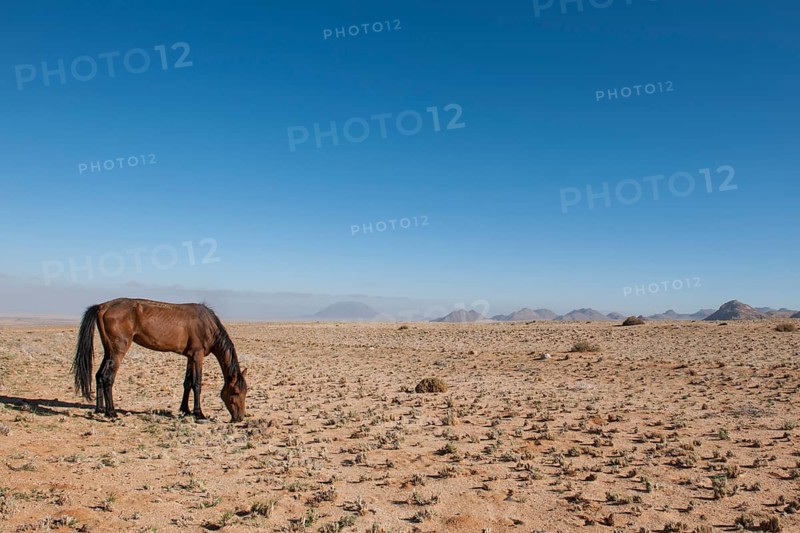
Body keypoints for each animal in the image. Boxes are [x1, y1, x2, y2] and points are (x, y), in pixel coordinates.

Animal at [72, 298, 247, 422]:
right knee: (107, 377)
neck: (207, 324)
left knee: (99, 375)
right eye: (236, 392)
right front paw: (199, 414)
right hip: (117, 352)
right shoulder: (198, 356)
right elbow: (197, 384)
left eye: (245, 392)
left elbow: (187, 383)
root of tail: (102, 306)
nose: (239, 418)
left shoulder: (190, 357)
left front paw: (185, 410)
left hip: (108, 351)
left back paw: (99, 410)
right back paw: (112, 413)